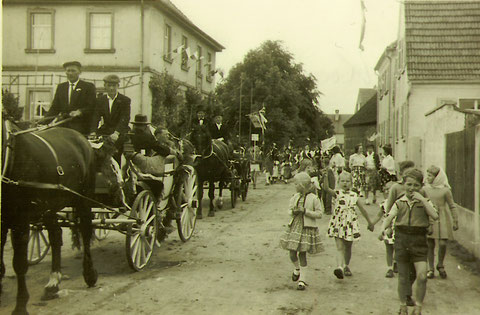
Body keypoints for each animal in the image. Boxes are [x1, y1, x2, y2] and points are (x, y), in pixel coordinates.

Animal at [1, 116, 97, 315]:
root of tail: (80, 136)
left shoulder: (20, 220)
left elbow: (19, 263)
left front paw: (21, 305)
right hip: (50, 207)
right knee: (55, 235)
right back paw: (54, 281)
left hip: (84, 198)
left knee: (85, 231)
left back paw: (89, 274)